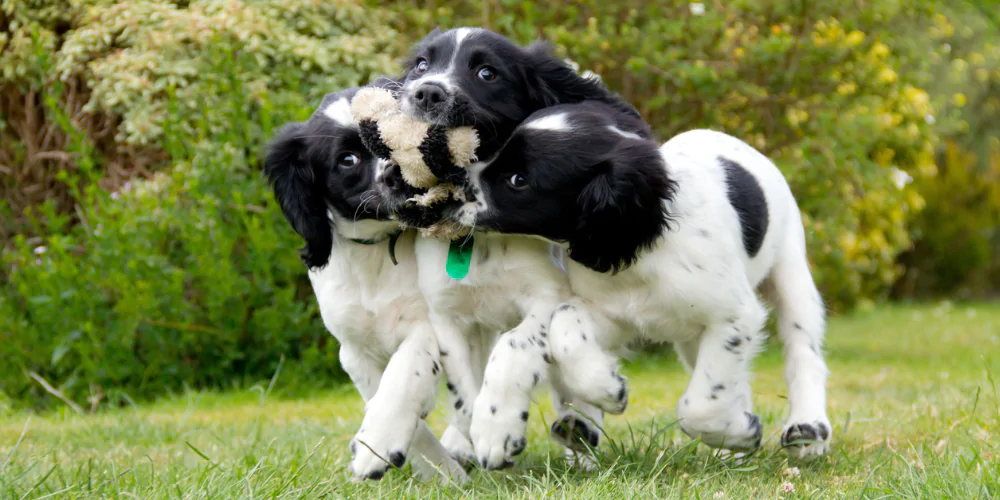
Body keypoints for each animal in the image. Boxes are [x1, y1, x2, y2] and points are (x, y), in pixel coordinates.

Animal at [266, 85, 468, 480]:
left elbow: (404, 374)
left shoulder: (428, 321)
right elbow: (384, 396)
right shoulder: (354, 349)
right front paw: (433, 468)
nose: (399, 172)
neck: (379, 253)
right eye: (348, 160)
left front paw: (380, 441)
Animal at [452, 103, 828, 458]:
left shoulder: (734, 316)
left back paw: (808, 429)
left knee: (803, 354)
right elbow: (566, 330)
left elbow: (699, 407)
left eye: (518, 179)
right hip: (692, 337)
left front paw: (741, 432)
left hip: (792, 274)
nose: (453, 184)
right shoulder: (610, 312)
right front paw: (607, 389)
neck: (648, 252)